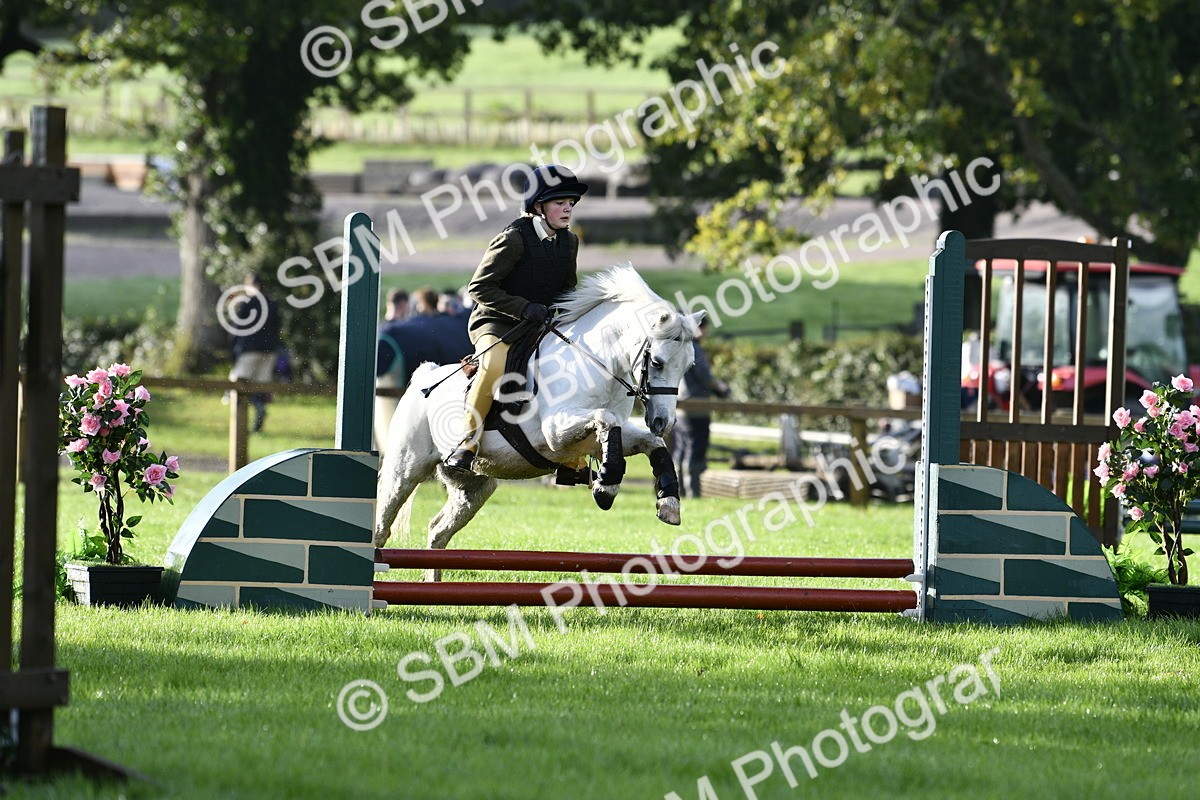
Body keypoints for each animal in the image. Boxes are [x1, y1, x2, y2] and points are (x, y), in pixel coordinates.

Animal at [374, 266, 703, 573]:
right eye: (657, 362)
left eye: (688, 366)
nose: (663, 421)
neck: (598, 363)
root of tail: (424, 376)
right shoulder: (556, 432)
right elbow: (608, 419)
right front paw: (606, 487)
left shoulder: (594, 442)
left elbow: (650, 442)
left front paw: (668, 503)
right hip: (406, 470)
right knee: (383, 523)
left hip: (473, 487)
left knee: (438, 530)